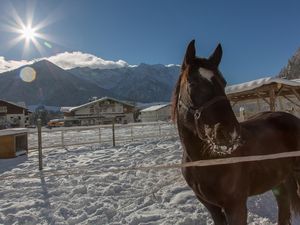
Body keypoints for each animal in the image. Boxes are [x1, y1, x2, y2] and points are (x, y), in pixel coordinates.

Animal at [171, 39, 300, 224]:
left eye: (224, 83)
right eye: (192, 83)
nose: (229, 133)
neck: (204, 162)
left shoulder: (236, 206)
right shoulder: (212, 207)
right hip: (279, 180)